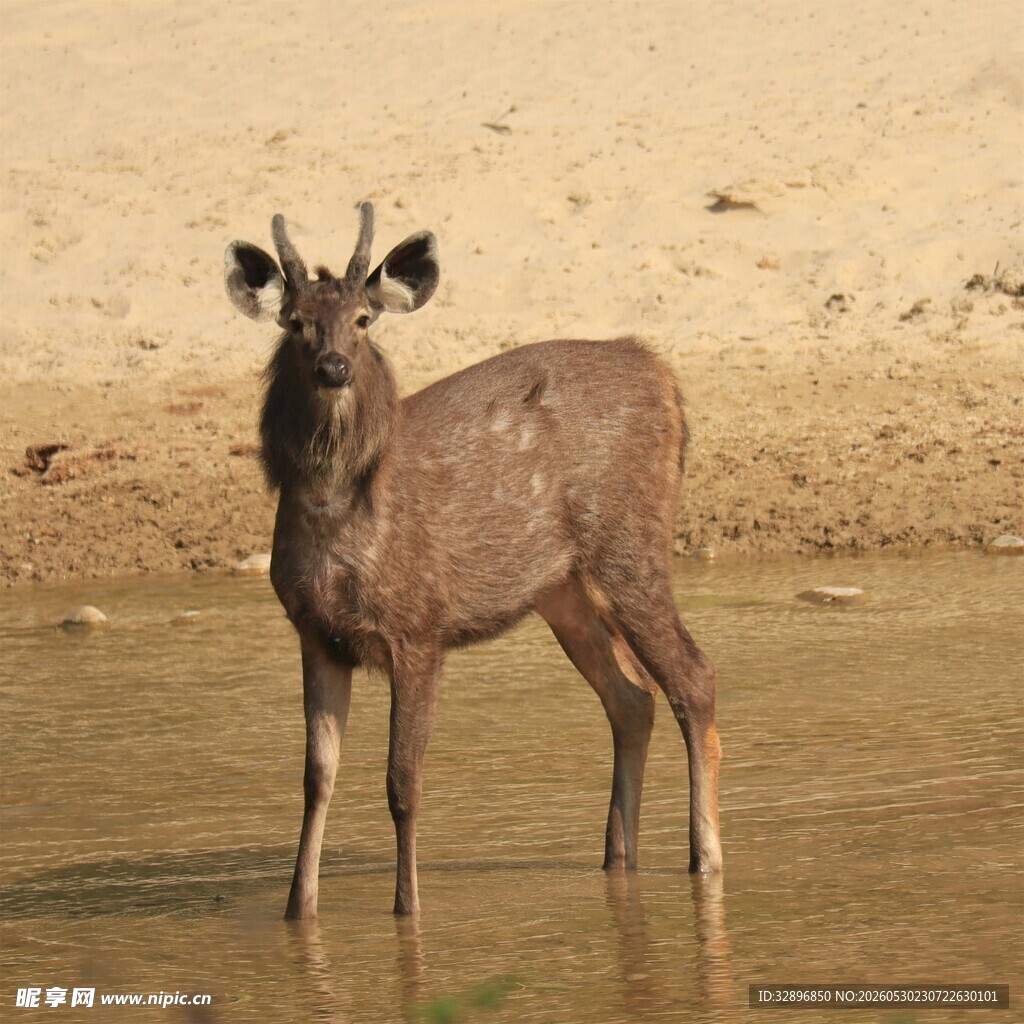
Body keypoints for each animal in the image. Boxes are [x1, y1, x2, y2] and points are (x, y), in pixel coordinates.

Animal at [223, 204, 722, 920]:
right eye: (294, 322)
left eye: (363, 319)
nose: (334, 367)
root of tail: (663, 375)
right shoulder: (315, 633)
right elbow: (317, 779)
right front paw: (298, 910)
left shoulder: (417, 627)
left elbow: (402, 781)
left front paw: (407, 909)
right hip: (564, 589)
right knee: (632, 696)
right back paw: (616, 861)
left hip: (631, 546)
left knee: (694, 678)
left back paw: (704, 859)